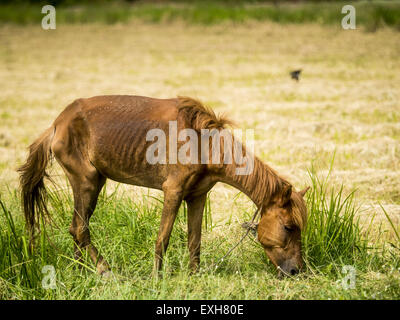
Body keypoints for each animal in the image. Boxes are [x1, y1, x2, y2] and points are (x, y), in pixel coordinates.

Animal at [18, 95, 310, 278]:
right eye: (288, 227)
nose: (297, 270)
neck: (203, 143)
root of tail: (57, 124)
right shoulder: (174, 192)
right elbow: (163, 238)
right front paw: (158, 278)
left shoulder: (197, 196)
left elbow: (194, 240)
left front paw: (194, 276)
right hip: (86, 182)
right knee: (80, 229)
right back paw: (104, 271)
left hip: (94, 182)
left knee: (77, 229)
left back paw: (83, 272)